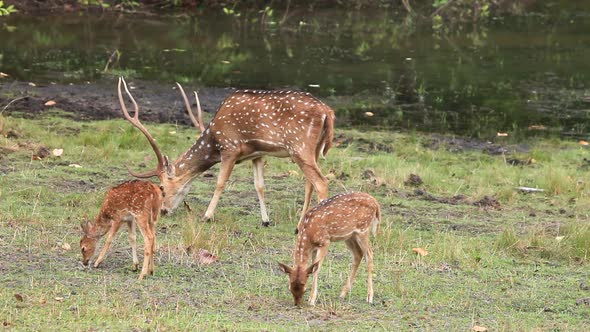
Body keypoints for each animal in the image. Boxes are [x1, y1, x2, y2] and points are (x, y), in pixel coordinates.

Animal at [119, 77, 338, 226]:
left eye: (162, 187)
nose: (164, 211)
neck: (213, 140)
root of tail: (327, 112)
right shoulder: (257, 153)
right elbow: (259, 185)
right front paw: (265, 220)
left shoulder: (230, 147)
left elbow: (220, 182)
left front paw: (206, 216)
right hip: (313, 150)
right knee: (310, 184)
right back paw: (300, 223)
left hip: (300, 146)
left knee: (321, 182)